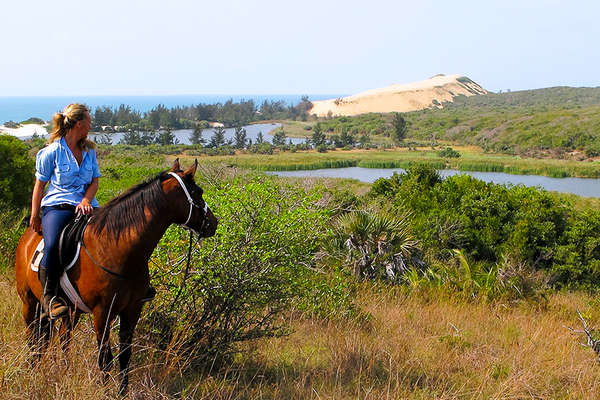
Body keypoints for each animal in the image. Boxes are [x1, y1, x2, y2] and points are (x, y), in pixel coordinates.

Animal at [14, 159, 218, 394]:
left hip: (71, 310)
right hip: (29, 302)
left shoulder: (132, 309)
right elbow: (105, 358)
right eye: (198, 192)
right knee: (33, 338)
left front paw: (123, 392)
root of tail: (29, 234)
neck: (117, 247)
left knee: (63, 339)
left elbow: (124, 356)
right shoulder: (102, 312)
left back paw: (61, 371)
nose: (213, 223)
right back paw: (32, 369)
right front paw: (105, 391)